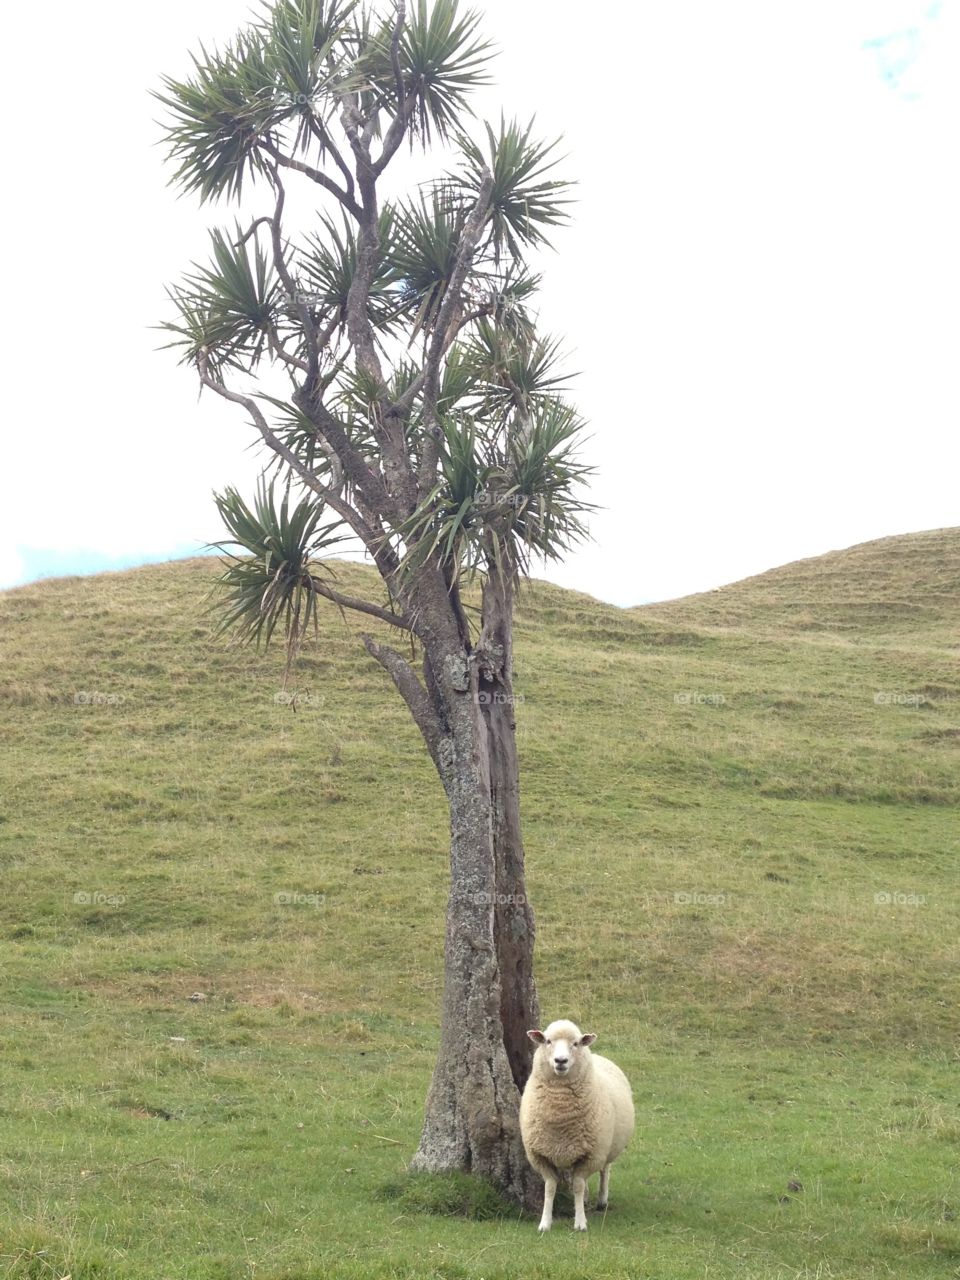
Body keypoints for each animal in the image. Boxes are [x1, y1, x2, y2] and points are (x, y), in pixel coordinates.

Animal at [519, 1018, 635, 1232]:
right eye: (547, 1041)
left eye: (576, 1043)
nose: (560, 1061)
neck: (560, 1113)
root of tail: (598, 1056)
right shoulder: (541, 1156)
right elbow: (550, 1188)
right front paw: (545, 1222)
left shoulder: (591, 1154)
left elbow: (578, 1186)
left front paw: (580, 1222)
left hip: (606, 1146)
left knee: (605, 1170)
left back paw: (602, 1200)